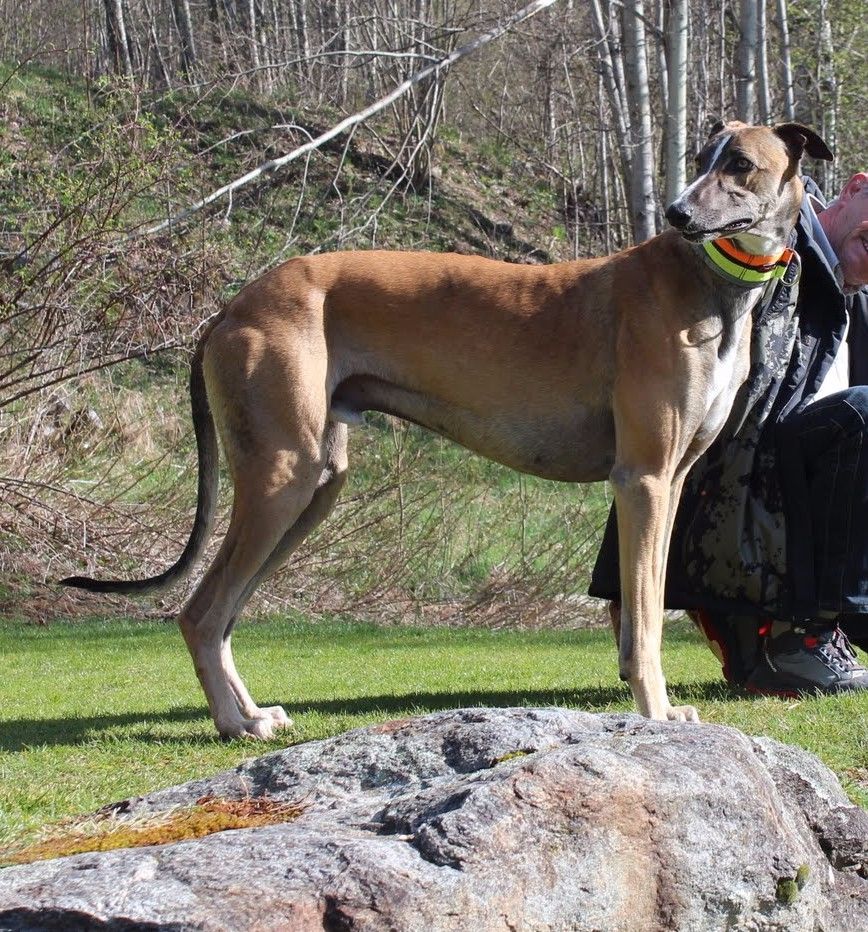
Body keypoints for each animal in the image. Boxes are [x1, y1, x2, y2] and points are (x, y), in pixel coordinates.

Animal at [64, 122, 832, 736]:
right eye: (704, 159)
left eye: (740, 164)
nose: (678, 212)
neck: (709, 286)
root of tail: (231, 308)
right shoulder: (641, 479)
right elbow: (642, 618)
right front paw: (656, 711)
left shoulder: (671, 482)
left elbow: (644, 604)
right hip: (283, 476)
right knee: (201, 612)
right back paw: (234, 723)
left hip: (316, 484)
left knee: (223, 614)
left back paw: (252, 712)